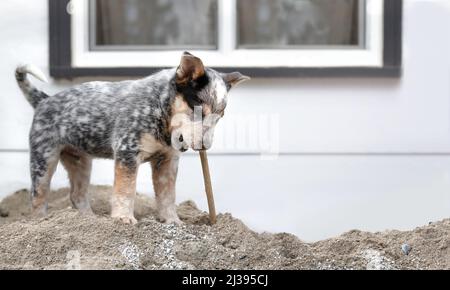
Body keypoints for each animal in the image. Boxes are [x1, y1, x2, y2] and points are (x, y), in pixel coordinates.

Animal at [14, 52, 250, 224]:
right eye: (197, 109)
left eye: (220, 116)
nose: (205, 146)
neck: (159, 109)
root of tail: (44, 100)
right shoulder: (127, 152)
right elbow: (126, 190)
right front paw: (123, 219)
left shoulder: (167, 161)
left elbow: (167, 195)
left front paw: (173, 222)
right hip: (43, 158)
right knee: (38, 195)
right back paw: (40, 222)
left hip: (80, 161)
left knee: (77, 194)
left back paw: (88, 221)